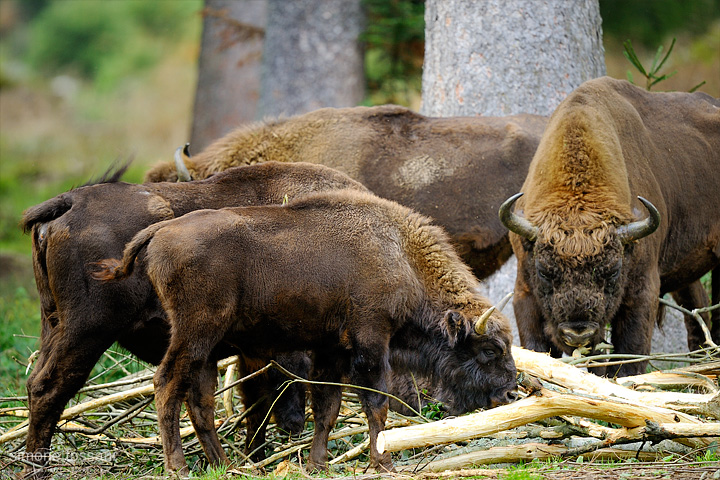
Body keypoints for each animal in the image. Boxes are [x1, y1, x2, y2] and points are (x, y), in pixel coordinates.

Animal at [19, 160, 368, 476]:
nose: (294, 425)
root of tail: (70, 201)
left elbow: (247, 404)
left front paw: (252, 459)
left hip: (55, 325)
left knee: (37, 384)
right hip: (89, 332)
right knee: (49, 389)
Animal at [95, 189, 516, 474]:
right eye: (489, 349)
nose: (511, 391)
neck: (399, 255)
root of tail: (160, 229)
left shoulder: (332, 351)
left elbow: (327, 409)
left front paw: (317, 465)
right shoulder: (370, 343)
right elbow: (375, 405)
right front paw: (382, 464)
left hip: (206, 349)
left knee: (200, 403)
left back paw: (225, 465)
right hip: (195, 334)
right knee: (167, 386)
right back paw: (179, 468)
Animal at [500, 76, 720, 376]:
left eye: (613, 271)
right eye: (545, 272)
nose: (577, 334)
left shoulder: (642, 290)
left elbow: (631, 352)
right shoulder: (525, 288)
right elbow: (536, 344)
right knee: (698, 309)